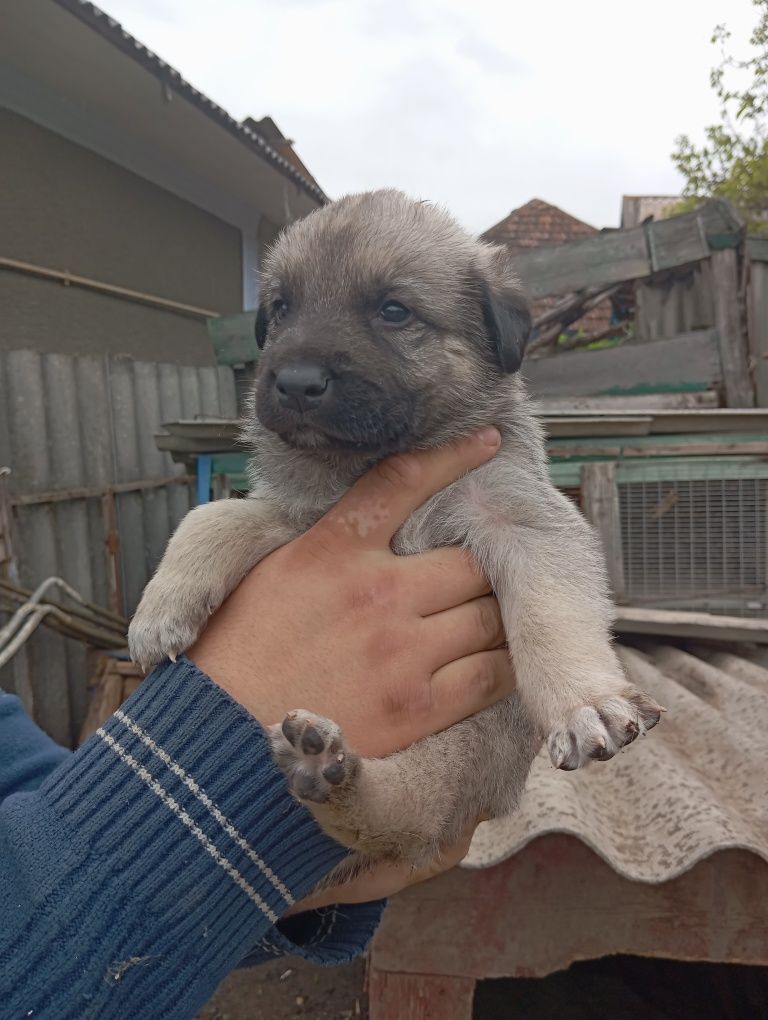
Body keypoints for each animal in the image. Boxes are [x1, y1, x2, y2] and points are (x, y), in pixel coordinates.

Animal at [129, 192, 660, 877]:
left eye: (393, 310)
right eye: (282, 308)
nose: (295, 382)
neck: (369, 464)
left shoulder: (518, 518)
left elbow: (550, 617)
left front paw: (582, 701)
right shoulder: (300, 516)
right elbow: (210, 517)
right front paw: (160, 610)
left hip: (463, 753)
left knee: (404, 814)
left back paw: (330, 773)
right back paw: (323, 769)